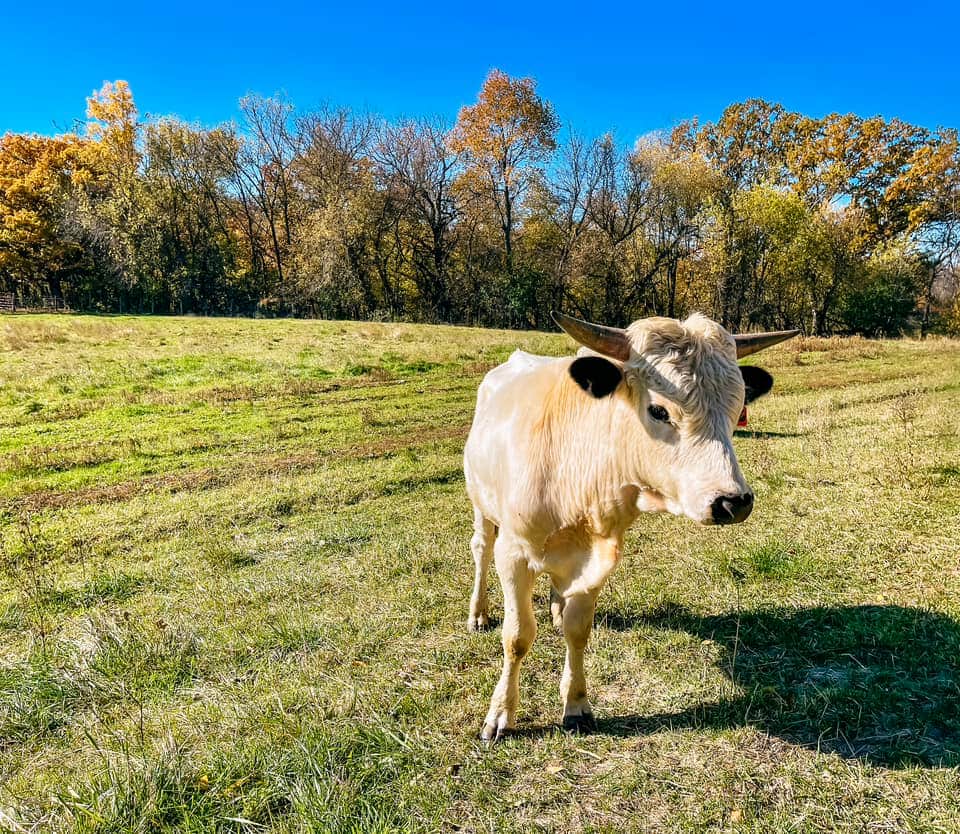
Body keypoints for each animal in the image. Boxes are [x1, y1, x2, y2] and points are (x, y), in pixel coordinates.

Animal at [463, 311, 798, 741]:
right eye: (659, 410)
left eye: (737, 406)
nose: (732, 501)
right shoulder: (515, 555)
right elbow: (517, 636)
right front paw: (501, 713)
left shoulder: (597, 561)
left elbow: (578, 630)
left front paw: (576, 704)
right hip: (481, 505)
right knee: (481, 549)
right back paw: (478, 613)